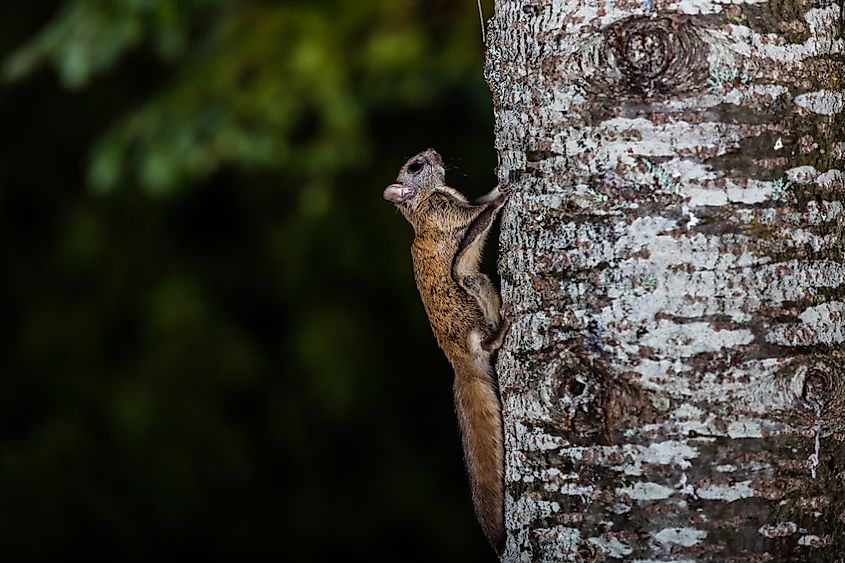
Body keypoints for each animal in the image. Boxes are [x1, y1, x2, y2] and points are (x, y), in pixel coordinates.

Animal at [383, 148, 511, 555]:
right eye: (415, 166)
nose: (434, 152)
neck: (426, 200)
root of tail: (461, 365)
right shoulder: (449, 215)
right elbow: (479, 218)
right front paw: (503, 197)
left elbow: (481, 201)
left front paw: (499, 185)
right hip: (465, 298)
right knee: (484, 341)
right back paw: (499, 332)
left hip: (478, 283)